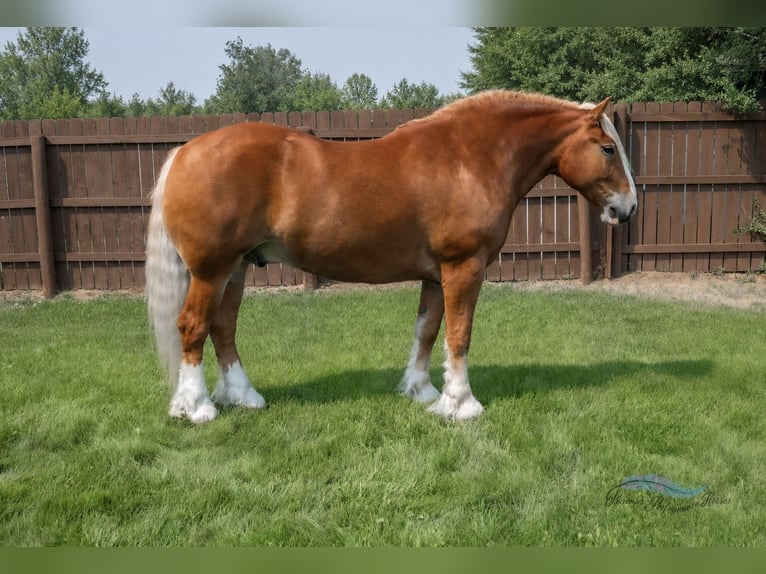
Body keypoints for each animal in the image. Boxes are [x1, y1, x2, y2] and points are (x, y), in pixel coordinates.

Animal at [145, 90, 637, 424]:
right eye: (608, 148)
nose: (628, 208)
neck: (469, 157)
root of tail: (185, 151)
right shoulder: (464, 267)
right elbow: (459, 335)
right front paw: (462, 404)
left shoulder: (436, 275)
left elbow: (427, 330)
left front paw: (422, 391)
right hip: (212, 271)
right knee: (193, 326)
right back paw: (197, 407)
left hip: (238, 268)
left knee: (223, 328)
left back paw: (243, 396)